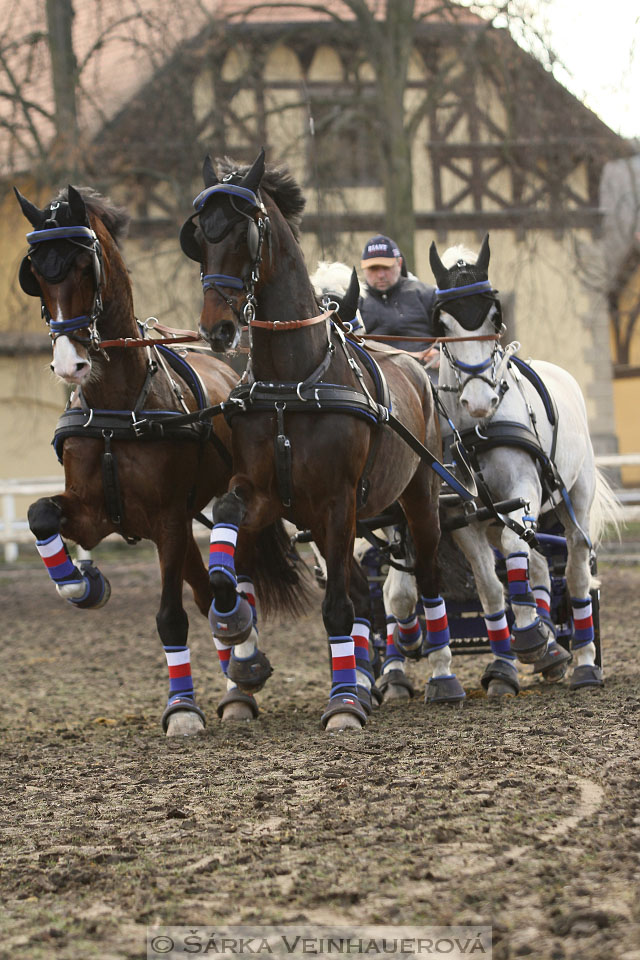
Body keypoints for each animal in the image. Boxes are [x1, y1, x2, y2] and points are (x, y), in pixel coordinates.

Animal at [14, 182, 288, 736]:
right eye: (36, 274)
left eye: (84, 266)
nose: (69, 364)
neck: (120, 408)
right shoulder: (94, 511)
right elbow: (40, 514)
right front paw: (81, 582)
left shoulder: (165, 520)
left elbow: (170, 617)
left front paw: (182, 709)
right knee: (208, 593)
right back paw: (240, 670)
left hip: (220, 508)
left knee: (226, 589)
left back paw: (243, 655)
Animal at [180, 148, 470, 728]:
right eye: (199, 234)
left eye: (244, 232)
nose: (216, 329)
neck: (294, 382)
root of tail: (415, 367)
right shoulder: (269, 493)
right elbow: (228, 522)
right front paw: (232, 620)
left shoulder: (338, 500)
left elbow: (337, 608)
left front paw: (343, 707)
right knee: (365, 588)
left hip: (419, 496)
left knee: (426, 578)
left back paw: (440, 675)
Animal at [422, 235, 616, 692]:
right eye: (443, 324)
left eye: (495, 314)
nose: (479, 400)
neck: (476, 431)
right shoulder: (462, 514)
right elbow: (490, 586)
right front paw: (504, 665)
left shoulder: (522, 490)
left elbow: (515, 551)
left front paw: (529, 636)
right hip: (496, 516)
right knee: (539, 561)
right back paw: (549, 647)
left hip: (573, 500)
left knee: (576, 569)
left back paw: (584, 661)